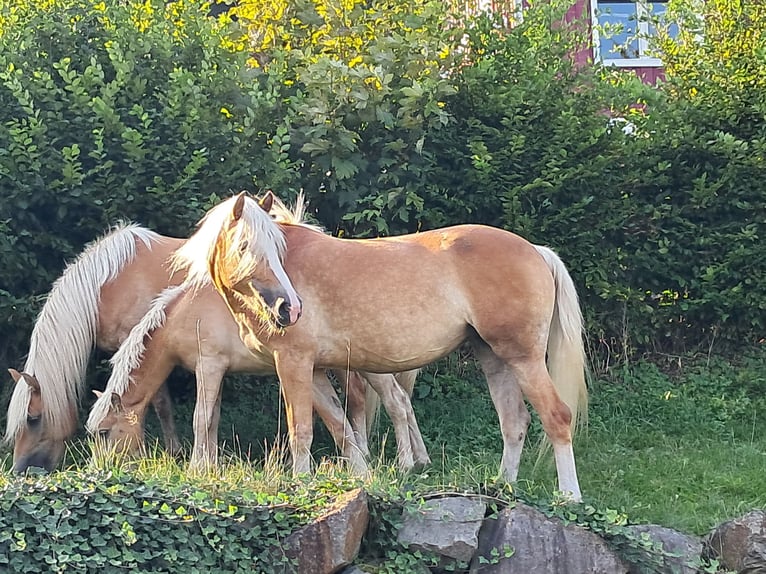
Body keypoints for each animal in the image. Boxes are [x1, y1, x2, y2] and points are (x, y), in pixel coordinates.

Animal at [86, 280, 428, 476]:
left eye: (104, 432)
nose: (98, 469)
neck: (186, 312)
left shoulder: (208, 366)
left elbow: (200, 418)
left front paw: (196, 467)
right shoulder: (219, 371)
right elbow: (213, 419)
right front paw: (210, 465)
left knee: (395, 402)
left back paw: (405, 464)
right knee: (399, 402)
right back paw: (419, 459)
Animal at [176, 192, 592, 500]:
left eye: (278, 250)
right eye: (245, 246)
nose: (289, 308)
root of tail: (536, 250)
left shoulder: (293, 363)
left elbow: (302, 430)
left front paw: (301, 483)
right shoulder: (315, 370)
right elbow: (341, 427)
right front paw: (360, 477)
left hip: (524, 358)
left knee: (556, 416)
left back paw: (570, 496)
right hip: (495, 358)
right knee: (514, 421)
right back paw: (502, 486)